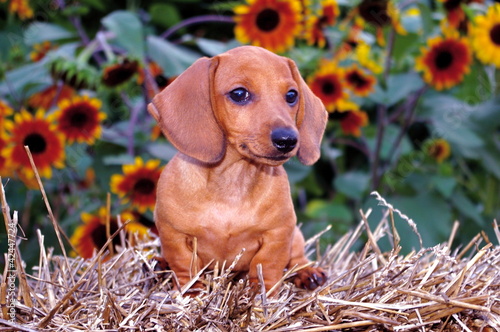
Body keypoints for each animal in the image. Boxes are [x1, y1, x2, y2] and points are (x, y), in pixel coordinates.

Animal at [146, 44, 330, 294]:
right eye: (239, 94)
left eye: (292, 95)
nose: (288, 140)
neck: (234, 180)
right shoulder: (173, 234)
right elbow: (185, 266)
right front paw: (191, 293)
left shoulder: (279, 233)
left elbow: (267, 265)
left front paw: (262, 295)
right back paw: (158, 266)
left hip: (297, 237)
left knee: (298, 259)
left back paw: (308, 273)